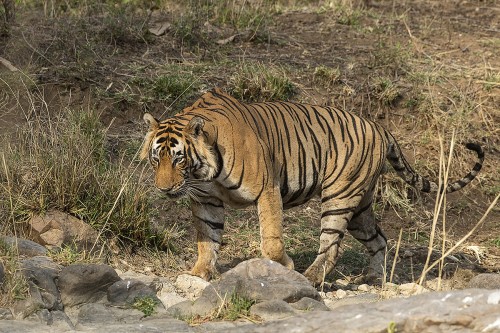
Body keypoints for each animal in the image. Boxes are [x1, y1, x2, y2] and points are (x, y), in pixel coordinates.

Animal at [141, 87, 484, 284]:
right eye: (156, 158)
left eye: (178, 159)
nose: (164, 190)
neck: (203, 174)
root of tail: (378, 126)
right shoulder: (206, 201)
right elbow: (207, 239)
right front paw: (198, 274)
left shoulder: (267, 190)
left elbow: (271, 239)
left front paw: (285, 266)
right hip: (360, 206)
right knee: (379, 239)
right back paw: (374, 277)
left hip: (339, 197)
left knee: (332, 246)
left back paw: (310, 278)